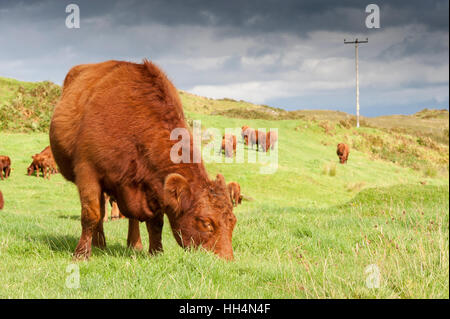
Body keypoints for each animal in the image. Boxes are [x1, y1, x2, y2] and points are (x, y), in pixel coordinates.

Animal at [49, 58, 237, 262]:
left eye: (233, 221)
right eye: (205, 222)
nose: (227, 260)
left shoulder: (153, 186)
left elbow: (156, 223)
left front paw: (156, 252)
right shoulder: (87, 172)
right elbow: (90, 214)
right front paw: (81, 254)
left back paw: (134, 243)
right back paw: (99, 243)